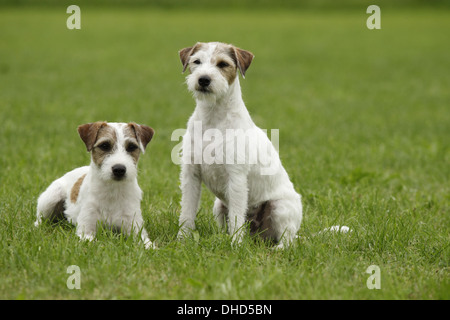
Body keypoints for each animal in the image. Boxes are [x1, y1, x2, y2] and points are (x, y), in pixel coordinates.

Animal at [34, 121, 156, 249]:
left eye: (131, 147)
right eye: (104, 146)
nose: (119, 169)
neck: (112, 191)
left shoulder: (135, 227)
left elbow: (146, 243)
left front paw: (151, 248)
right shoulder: (86, 230)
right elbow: (92, 242)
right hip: (50, 198)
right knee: (40, 218)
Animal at [178, 42, 304, 248]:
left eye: (223, 64)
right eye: (196, 61)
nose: (203, 79)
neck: (213, 118)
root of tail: (259, 236)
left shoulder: (236, 178)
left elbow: (237, 216)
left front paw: (235, 246)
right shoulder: (191, 174)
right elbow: (187, 211)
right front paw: (182, 239)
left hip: (279, 207)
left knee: (287, 239)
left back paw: (277, 248)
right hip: (219, 206)